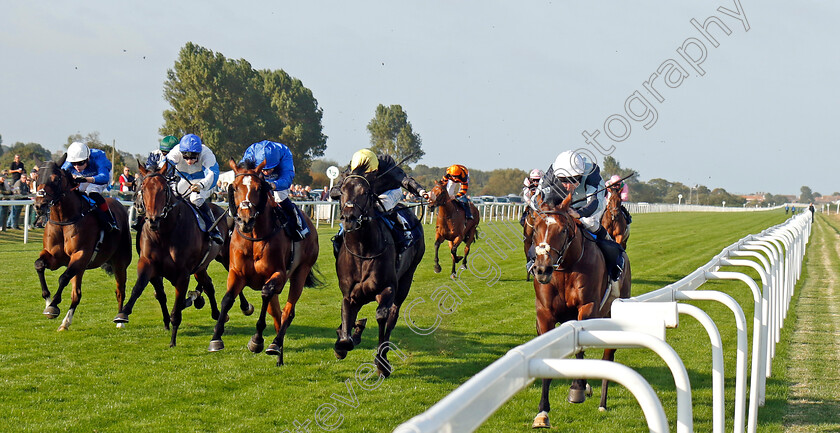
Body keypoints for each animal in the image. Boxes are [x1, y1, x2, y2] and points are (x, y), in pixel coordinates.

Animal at [33, 155, 132, 330]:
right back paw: (65, 323)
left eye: (55, 179)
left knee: (120, 290)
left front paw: (53, 306)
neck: (64, 220)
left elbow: (63, 278)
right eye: (36, 178)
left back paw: (120, 320)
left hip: (120, 262)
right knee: (77, 295)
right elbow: (39, 265)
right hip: (81, 268)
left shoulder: (80, 255)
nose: (40, 205)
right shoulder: (55, 257)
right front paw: (47, 301)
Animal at [113, 160, 248, 346]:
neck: (164, 233)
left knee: (234, 282)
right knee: (209, 285)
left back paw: (245, 307)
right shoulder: (148, 264)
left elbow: (177, 308)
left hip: (227, 258)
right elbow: (140, 287)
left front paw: (173, 339)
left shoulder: (183, 274)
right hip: (201, 267)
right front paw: (123, 314)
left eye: (164, 189)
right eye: (141, 187)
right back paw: (215, 312)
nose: (152, 218)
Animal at [206, 159, 318, 364]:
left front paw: (257, 340)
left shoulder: (277, 275)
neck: (254, 238)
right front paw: (216, 338)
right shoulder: (237, 273)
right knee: (277, 314)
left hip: (300, 272)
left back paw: (275, 344)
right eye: (235, 187)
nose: (245, 219)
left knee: (288, 312)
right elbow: (227, 299)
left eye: (258, 188)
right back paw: (279, 355)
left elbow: (266, 293)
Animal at [334, 170, 424, 376]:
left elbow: (382, 316)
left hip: (406, 279)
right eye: (342, 191)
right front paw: (345, 339)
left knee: (392, 315)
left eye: (365, 192)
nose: (349, 218)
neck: (362, 250)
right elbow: (346, 322)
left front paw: (381, 363)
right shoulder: (349, 294)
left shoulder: (387, 288)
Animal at [532, 193, 632, 428]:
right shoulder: (545, 315)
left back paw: (601, 402)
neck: (565, 268)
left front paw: (577, 389)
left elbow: (581, 349)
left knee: (607, 357)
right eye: (536, 227)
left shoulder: (587, 308)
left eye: (563, 230)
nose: (542, 269)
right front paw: (542, 413)